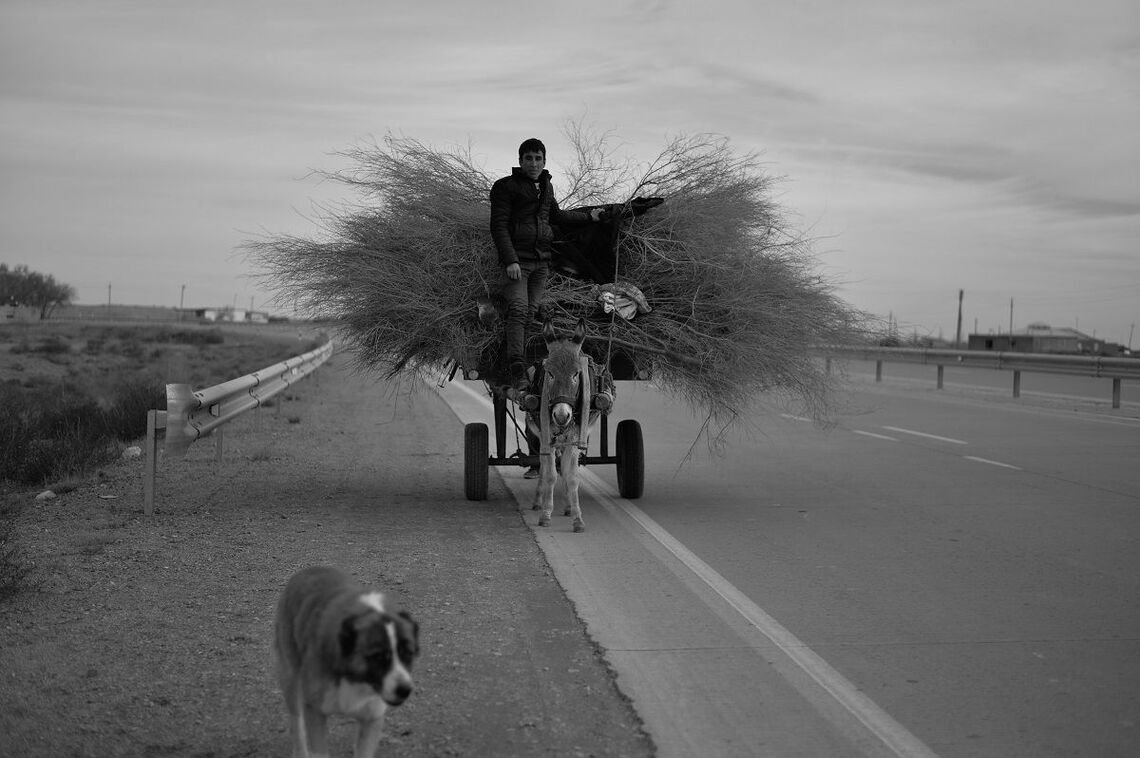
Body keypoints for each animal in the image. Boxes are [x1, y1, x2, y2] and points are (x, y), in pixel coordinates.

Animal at [273, 565, 421, 752]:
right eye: (378, 656)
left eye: (408, 654)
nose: (404, 690)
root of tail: (310, 569)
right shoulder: (314, 712)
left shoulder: (372, 719)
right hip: (290, 678)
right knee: (296, 722)